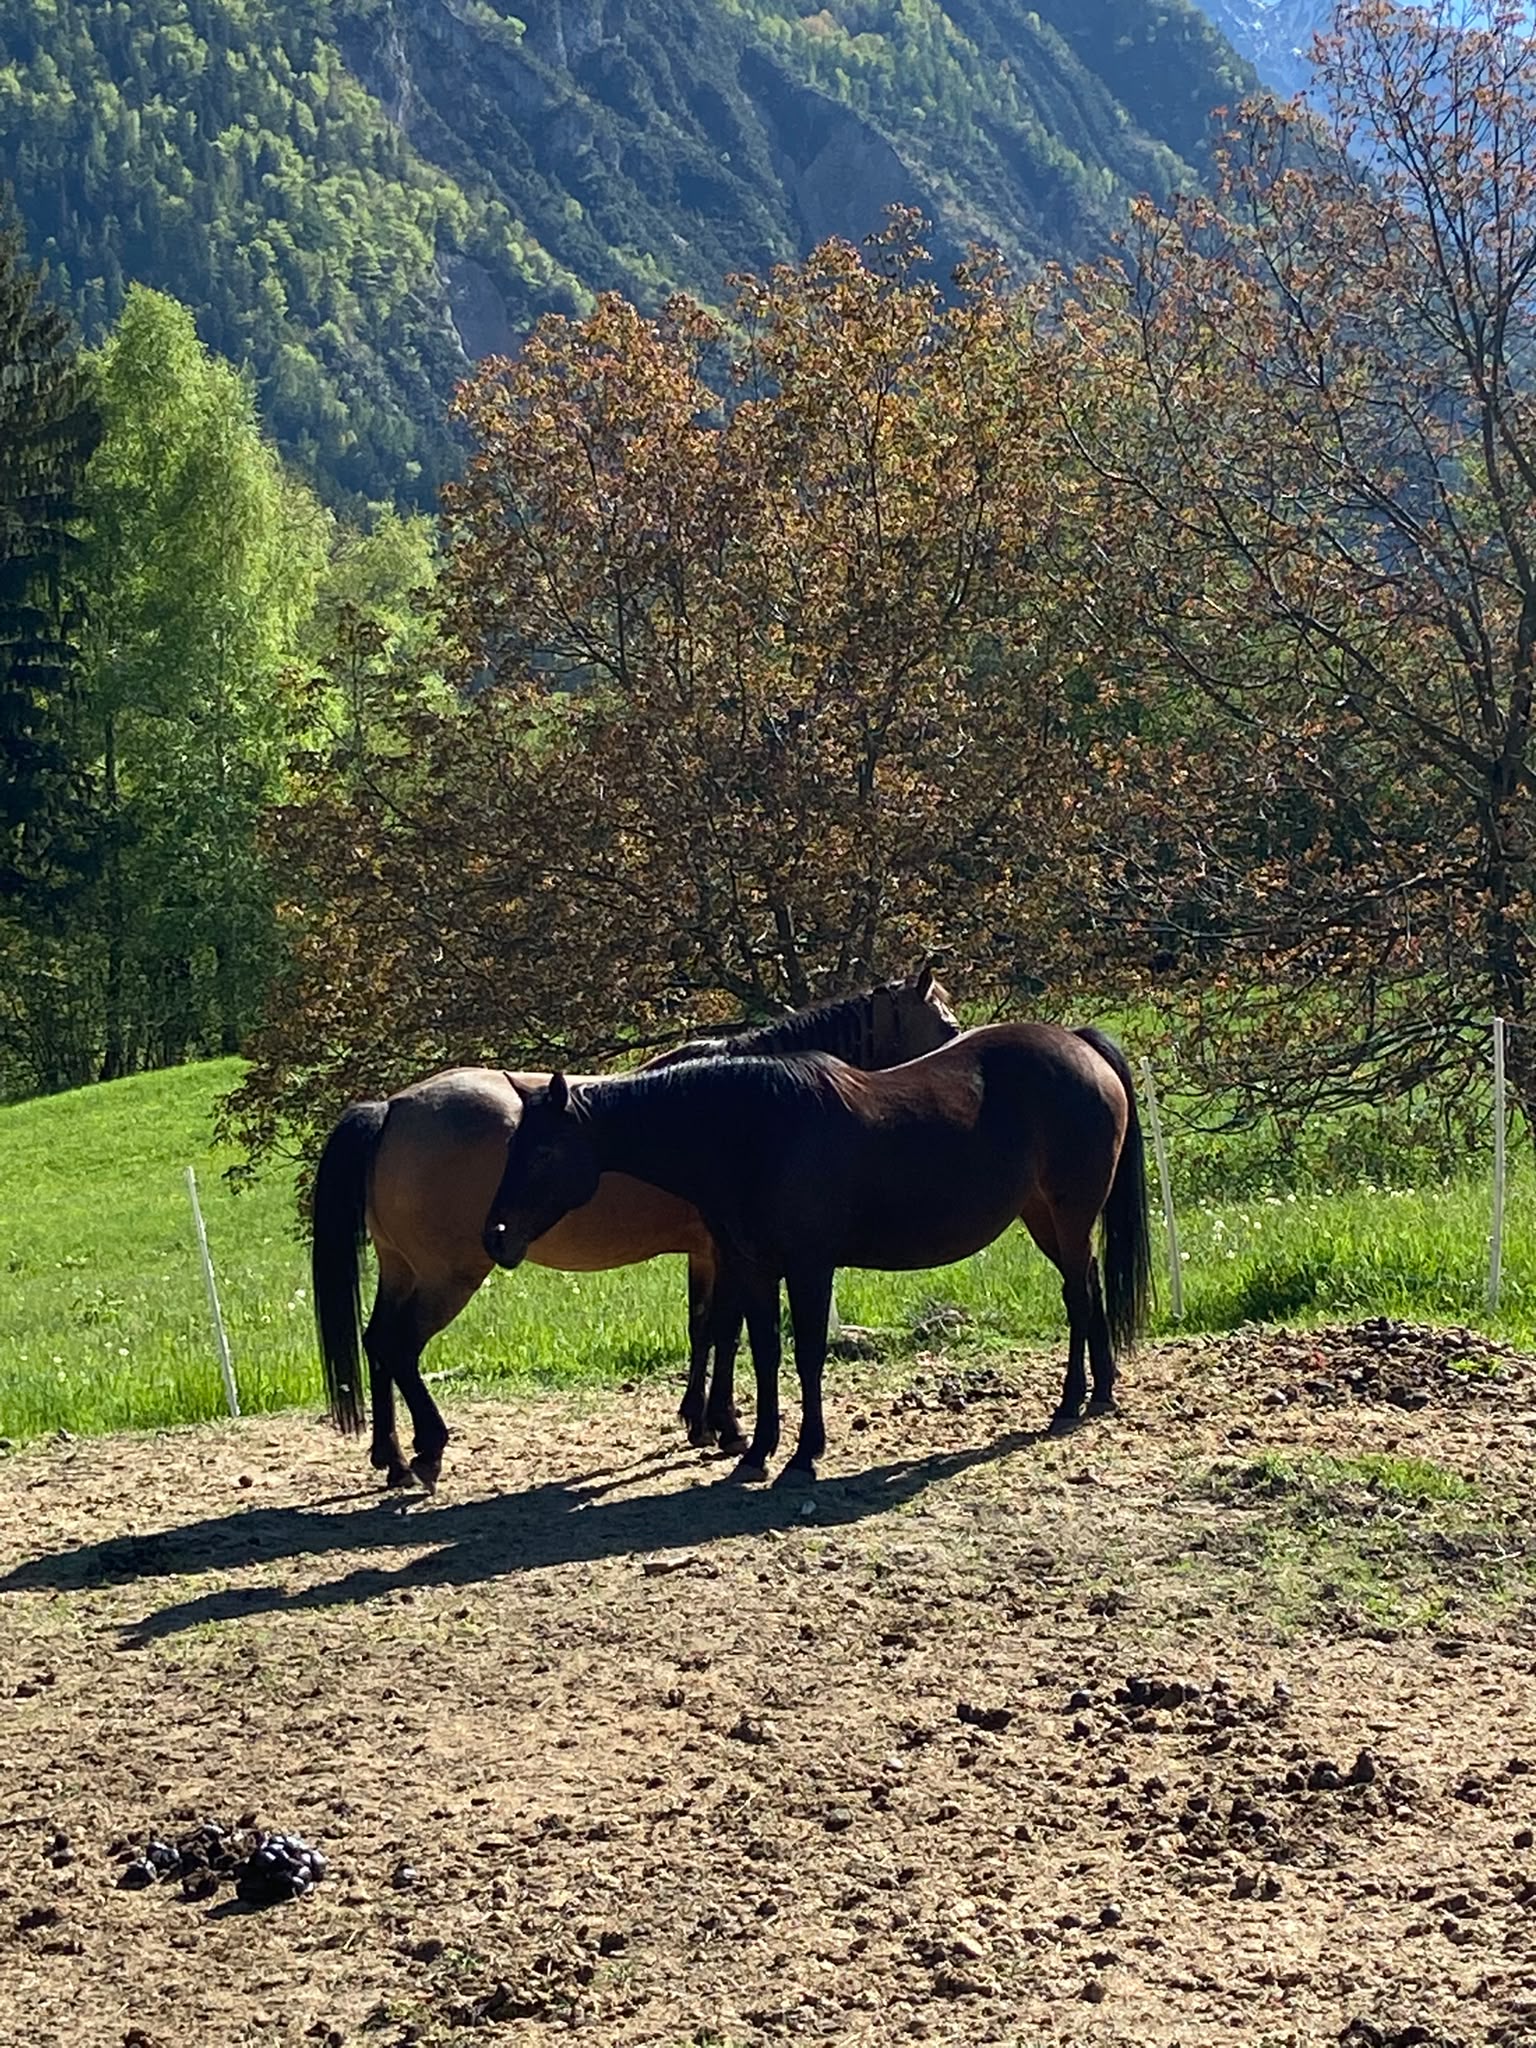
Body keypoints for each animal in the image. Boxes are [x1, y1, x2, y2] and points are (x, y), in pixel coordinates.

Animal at [310, 967, 959, 1490]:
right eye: (947, 1024)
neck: (730, 1108)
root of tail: (393, 1108)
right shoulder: (727, 1250)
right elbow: (726, 1331)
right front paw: (726, 1427)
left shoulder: (707, 1254)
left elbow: (706, 1330)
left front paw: (703, 1420)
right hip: (450, 1275)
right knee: (400, 1346)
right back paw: (428, 1450)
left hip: (403, 1269)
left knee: (377, 1342)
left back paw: (392, 1457)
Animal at [480, 1022, 1152, 1487]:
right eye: (511, 1148)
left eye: (543, 1152)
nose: (495, 1234)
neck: (752, 1130)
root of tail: (1078, 1042)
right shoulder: (752, 1266)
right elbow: (762, 1353)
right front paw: (755, 1450)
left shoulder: (808, 1267)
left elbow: (804, 1355)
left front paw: (803, 1455)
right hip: (1044, 1216)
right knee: (1088, 1287)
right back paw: (1097, 1393)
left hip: (1068, 1214)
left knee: (1077, 1293)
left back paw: (1073, 1400)